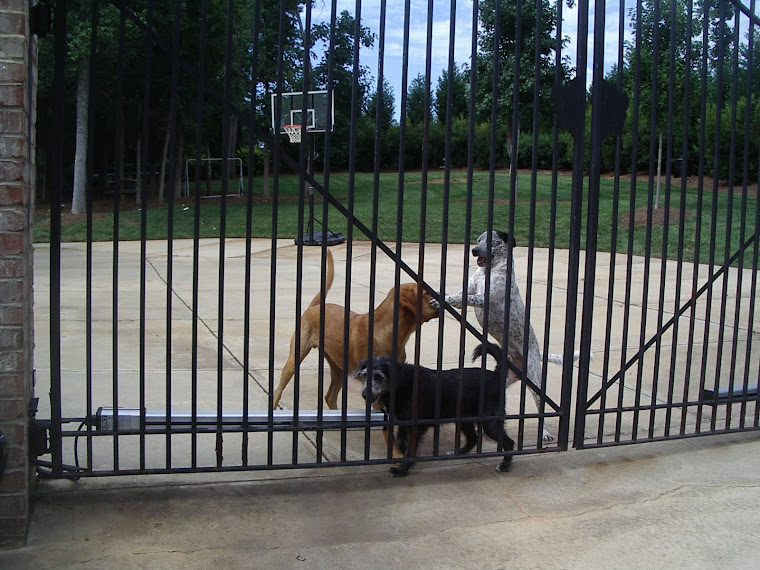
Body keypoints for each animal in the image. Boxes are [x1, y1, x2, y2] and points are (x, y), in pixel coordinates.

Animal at [274, 251, 440, 410]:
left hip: (338, 367)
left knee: (330, 397)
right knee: (278, 391)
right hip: (295, 359)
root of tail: (314, 306)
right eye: (426, 293)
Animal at [358, 342, 516, 474]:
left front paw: (403, 469)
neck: (400, 383)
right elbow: (400, 441)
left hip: (490, 423)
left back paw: (504, 465)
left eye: (379, 377)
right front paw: (404, 454)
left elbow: (409, 447)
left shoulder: (416, 425)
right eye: (365, 376)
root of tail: (496, 376)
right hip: (464, 419)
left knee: (509, 443)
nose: (365, 395)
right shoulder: (403, 422)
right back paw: (458, 452)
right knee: (473, 438)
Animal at [430, 230, 584, 440]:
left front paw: (441, 299)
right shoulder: (468, 291)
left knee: (540, 410)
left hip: (535, 383)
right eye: (479, 240)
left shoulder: (481, 299)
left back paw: (544, 433)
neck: (488, 271)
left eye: (492, 241)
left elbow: (461, 297)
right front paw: (441, 296)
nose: (474, 250)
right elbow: (457, 295)